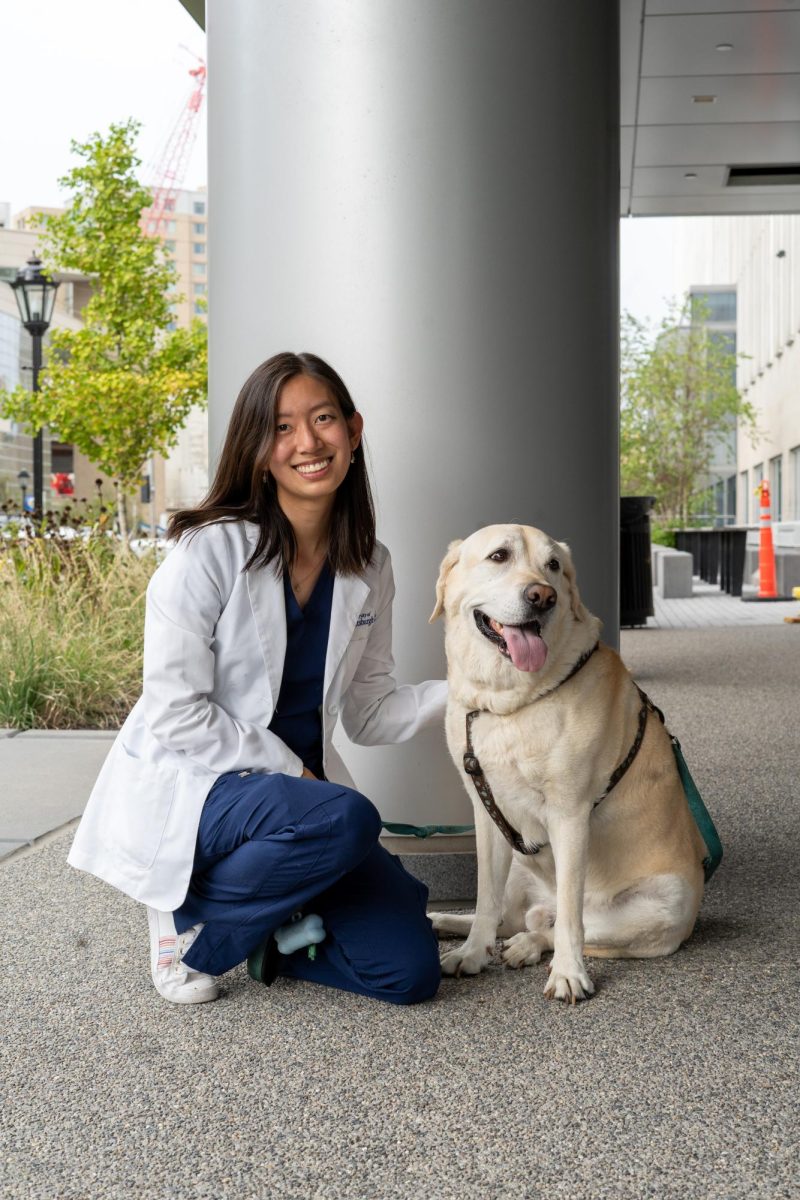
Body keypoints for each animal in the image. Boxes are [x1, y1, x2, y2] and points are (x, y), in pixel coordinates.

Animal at [431, 525, 705, 1003]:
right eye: (499, 556)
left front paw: (568, 973)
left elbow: (571, 917)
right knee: (510, 917)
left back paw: (528, 946)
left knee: (555, 924)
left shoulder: (570, 815)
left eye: (554, 566)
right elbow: (485, 899)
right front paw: (472, 954)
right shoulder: (486, 812)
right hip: (519, 865)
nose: (543, 596)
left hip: (667, 903)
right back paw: (448, 925)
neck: (507, 701)